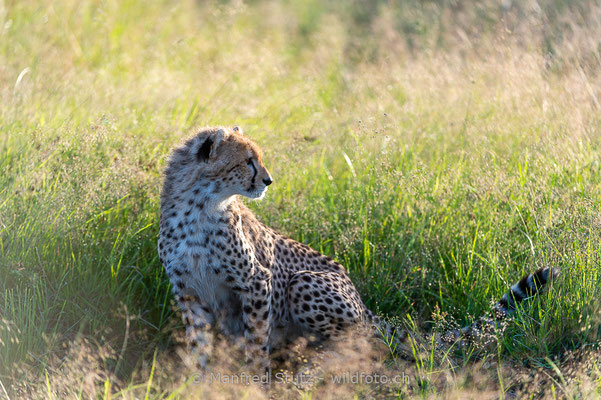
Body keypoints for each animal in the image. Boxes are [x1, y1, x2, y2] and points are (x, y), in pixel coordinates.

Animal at [158, 126, 556, 370]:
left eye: (258, 159)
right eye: (247, 161)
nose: (268, 180)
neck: (199, 207)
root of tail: (365, 305)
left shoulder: (258, 281)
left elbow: (256, 342)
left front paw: (254, 382)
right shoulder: (189, 293)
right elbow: (199, 348)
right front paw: (200, 383)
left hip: (304, 282)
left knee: (367, 341)